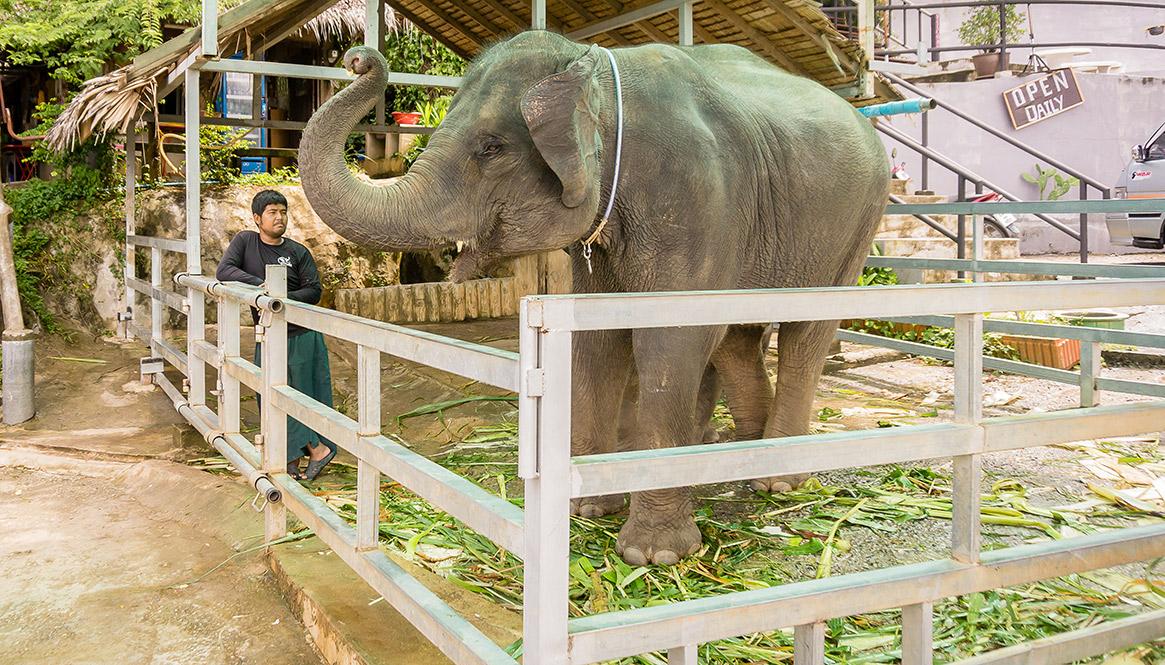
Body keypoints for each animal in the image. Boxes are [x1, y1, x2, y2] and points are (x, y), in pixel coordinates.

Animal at [295, 31, 885, 568]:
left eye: (491, 148)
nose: (358, 58)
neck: (596, 67)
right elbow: (597, 338)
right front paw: (588, 511)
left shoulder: (697, 196)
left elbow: (670, 343)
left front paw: (653, 555)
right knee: (737, 337)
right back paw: (737, 454)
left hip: (856, 226)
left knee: (805, 336)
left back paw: (778, 480)